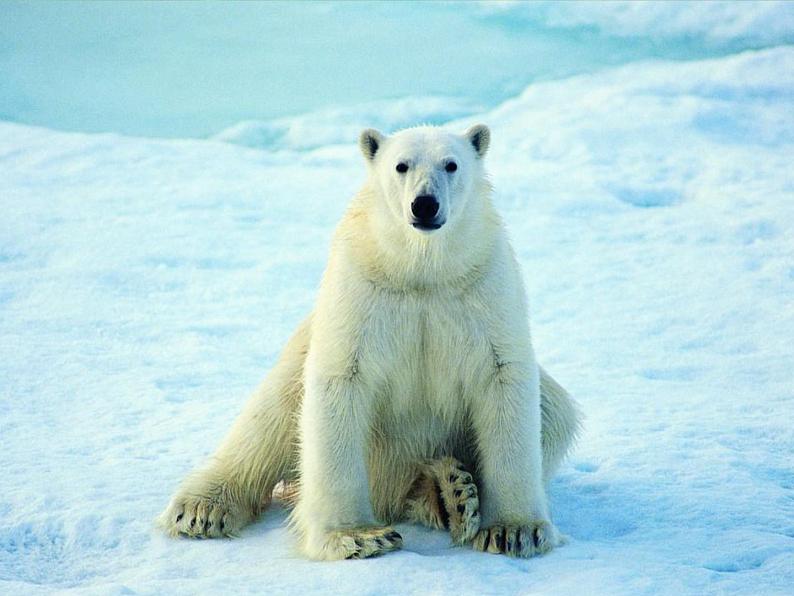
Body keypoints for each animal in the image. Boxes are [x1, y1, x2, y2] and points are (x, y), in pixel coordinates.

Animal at [158, 124, 580, 560]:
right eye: (401, 165)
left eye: (451, 164)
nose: (424, 205)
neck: (421, 272)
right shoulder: (362, 289)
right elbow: (341, 382)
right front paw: (358, 536)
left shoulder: (483, 288)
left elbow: (503, 379)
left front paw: (514, 531)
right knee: (267, 420)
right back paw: (201, 508)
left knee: (555, 411)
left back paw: (450, 492)